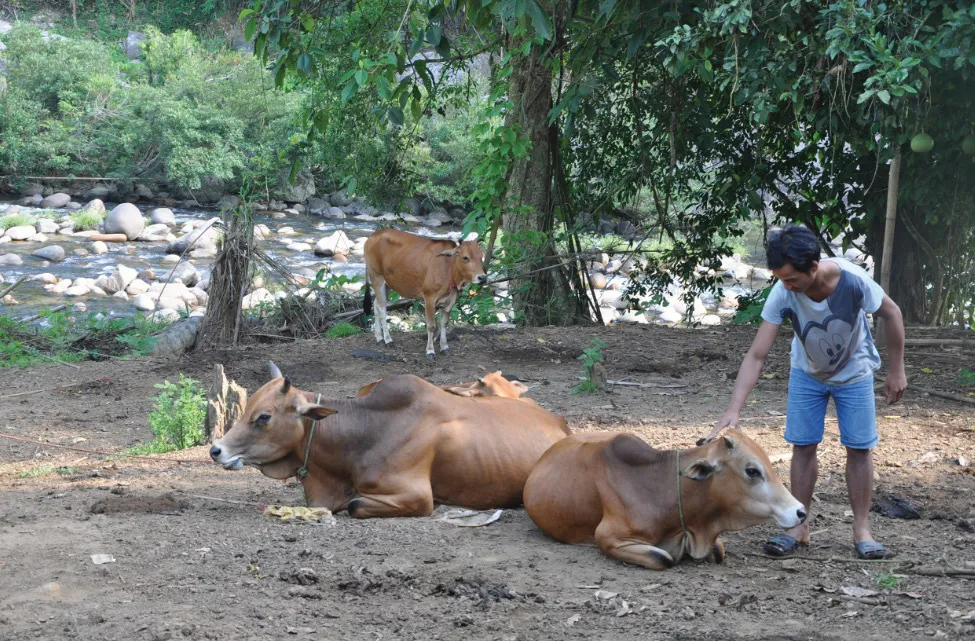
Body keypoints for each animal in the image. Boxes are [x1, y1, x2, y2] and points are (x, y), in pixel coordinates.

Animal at [364, 229, 486, 360]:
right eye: (465, 257)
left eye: (481, 257)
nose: (482, 278)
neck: (449, 268)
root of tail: (374, 235)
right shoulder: (429, 297)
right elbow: (431, 325)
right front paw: (430, 351)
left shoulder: (450, 299)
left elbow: (444, 323)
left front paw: (444, 347)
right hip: (377, 277)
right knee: (382, 308)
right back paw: (387, 340)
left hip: (388, 284)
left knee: (376, 304)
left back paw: (379, 338)